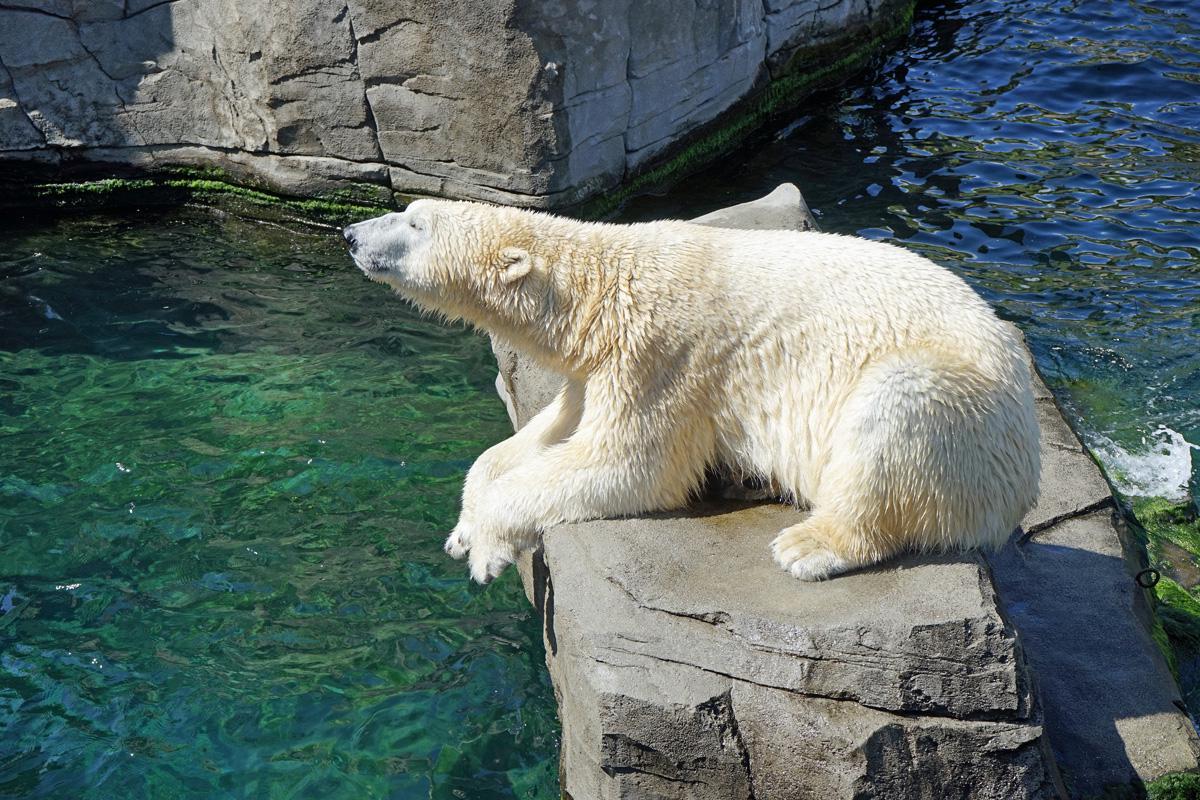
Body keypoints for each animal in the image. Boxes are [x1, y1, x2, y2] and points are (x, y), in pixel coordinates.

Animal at [343, 199, 1040, 585]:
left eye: (414, 222)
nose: (349, 234)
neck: (601, 289)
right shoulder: (600, 366)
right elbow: (542, 436)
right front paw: (463, 529)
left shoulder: (662, 355)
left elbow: (629, 464)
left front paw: (487, 549)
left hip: (962, 409)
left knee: (894, 413)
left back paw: (808, 545)